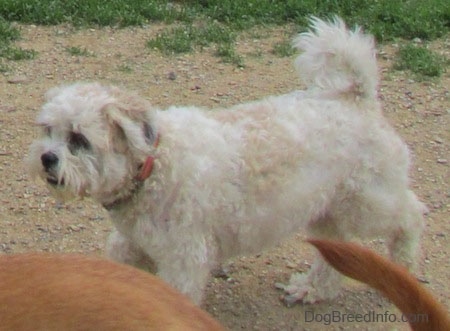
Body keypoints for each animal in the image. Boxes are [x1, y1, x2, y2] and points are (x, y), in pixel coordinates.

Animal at [28, 18, 426, 308]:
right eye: (48, 130)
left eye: (79, 139)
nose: (47, 158)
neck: (153, 166)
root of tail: (357, 98)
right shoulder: (132, 245)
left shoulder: (184, 261)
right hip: (326, 213)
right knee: (336, 255)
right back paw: (311, 289)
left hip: (367, 202)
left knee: (410, 216)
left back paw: (404, 265)